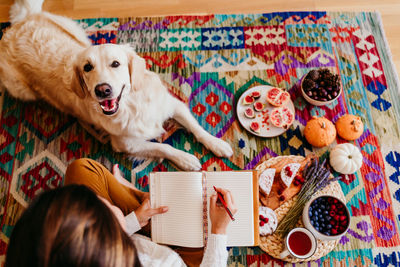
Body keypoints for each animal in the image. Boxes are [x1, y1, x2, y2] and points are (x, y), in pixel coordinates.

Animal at [0, 0, 233, 172]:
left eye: (115, 63)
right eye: (87, 67)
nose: (102, 90)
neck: (133, 104)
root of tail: (18, 24)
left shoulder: (173, 105)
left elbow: (197, 128)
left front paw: (217, 144)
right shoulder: (125, 143)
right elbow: (164, 147)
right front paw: (186, 158)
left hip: (75, 30)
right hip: (22, 89)